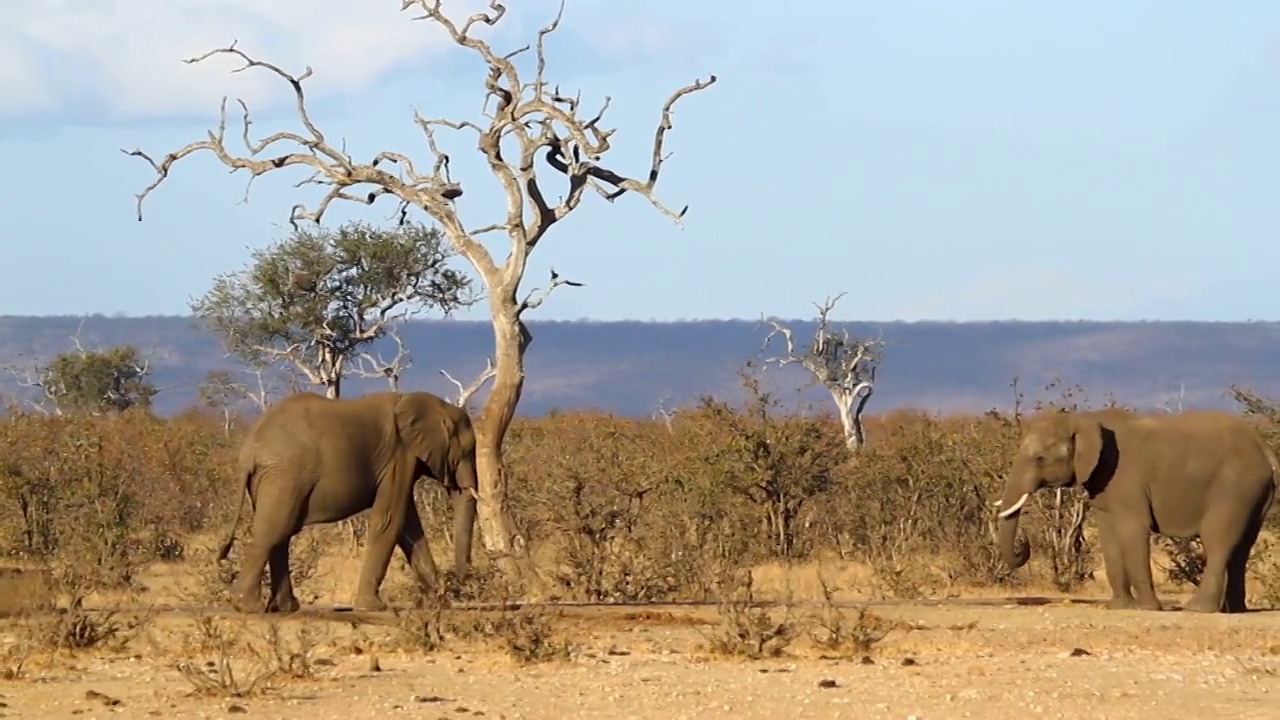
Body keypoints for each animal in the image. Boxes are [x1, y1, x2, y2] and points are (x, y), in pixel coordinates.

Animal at [215, 386, 481, 609]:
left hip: (274, 478)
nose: (458, 584)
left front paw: (436, 603)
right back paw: (248, 606)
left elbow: (409, 527)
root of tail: (249, 450)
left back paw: (285, 608)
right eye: (468, 450)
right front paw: (374, 607)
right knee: (273, 531)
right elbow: (390, 520)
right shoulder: (399, 456)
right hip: (284, 475)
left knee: (281, 534)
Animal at [998, 407, 1280, 607]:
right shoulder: (1103, 481)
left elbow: (1133, 531)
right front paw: (1119, 607)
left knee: (1218, 541)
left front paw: (1147, 607)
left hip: (1234, 486)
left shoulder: (1126, 477)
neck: (1084, 419)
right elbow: (1109, 537)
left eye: (1040, 459)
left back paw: (1197, 609)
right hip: (1254, 492)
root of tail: (1266, 452)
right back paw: (1234, 610)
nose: (1024, 542)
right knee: (1242, 547)